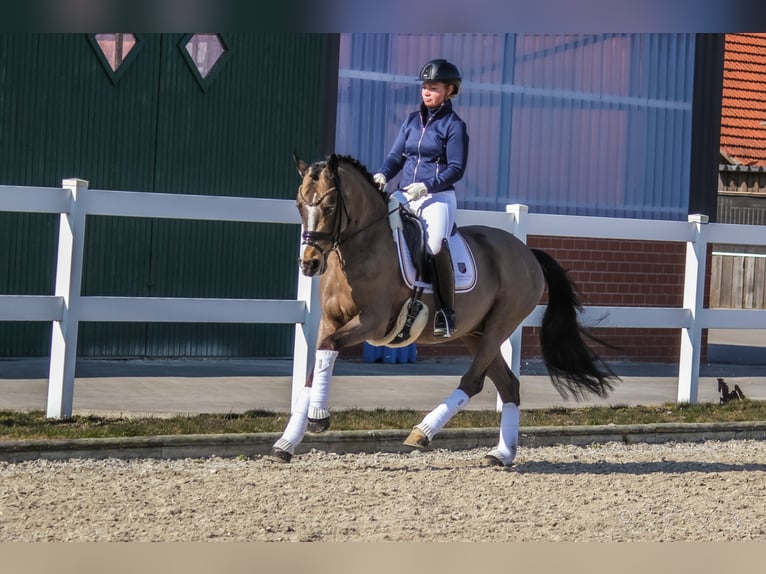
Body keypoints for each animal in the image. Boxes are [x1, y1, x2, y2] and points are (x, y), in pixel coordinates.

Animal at [270, 152, 616, 468]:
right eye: (299, 205)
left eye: (329, 207)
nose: (309, 263)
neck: (362, 247)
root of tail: (526, 252)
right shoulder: (331, 322)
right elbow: (315, 367)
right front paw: (288, 441)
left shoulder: (373, 321)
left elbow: (326, 352)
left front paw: (318, 418)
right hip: (476, 332)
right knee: (508, 385)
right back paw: (501, 454)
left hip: (499, 325)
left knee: (474, 381)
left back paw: (422, 433)